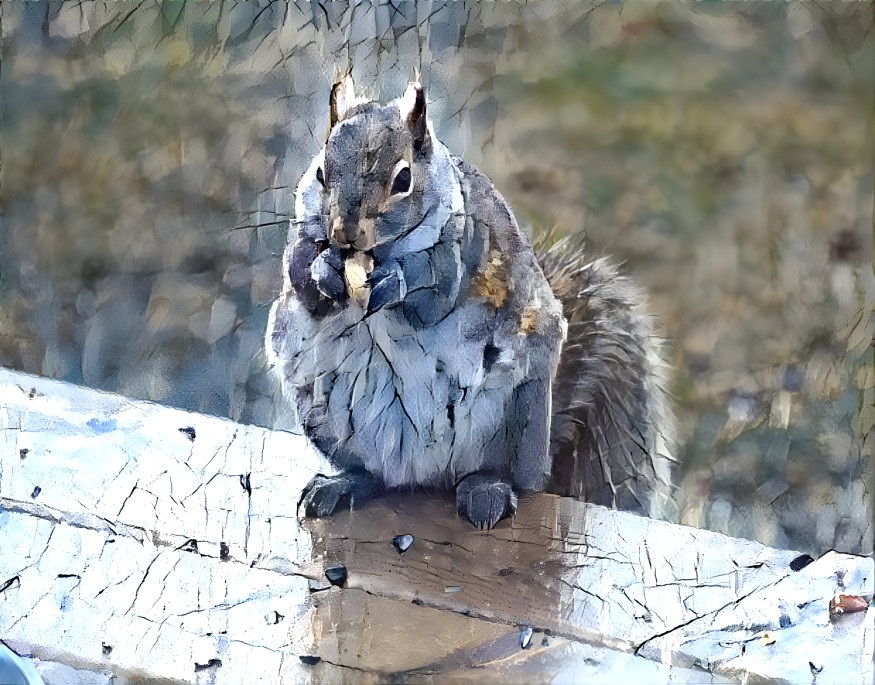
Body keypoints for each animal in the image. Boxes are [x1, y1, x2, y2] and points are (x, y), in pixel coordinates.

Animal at [268, 80, 676, 528]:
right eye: (321, 172)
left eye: (404, 179)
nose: (345, 233)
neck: (377, 253)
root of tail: (422, 472)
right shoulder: (303, 239)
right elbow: (300, 273)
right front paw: (323, 269)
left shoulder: (464, 249)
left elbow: (435, 295)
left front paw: (395, 282)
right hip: (322, 410)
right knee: (375, 476)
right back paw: (344, 483)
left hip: (521, 416)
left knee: (503, 476)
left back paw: (487, 490)